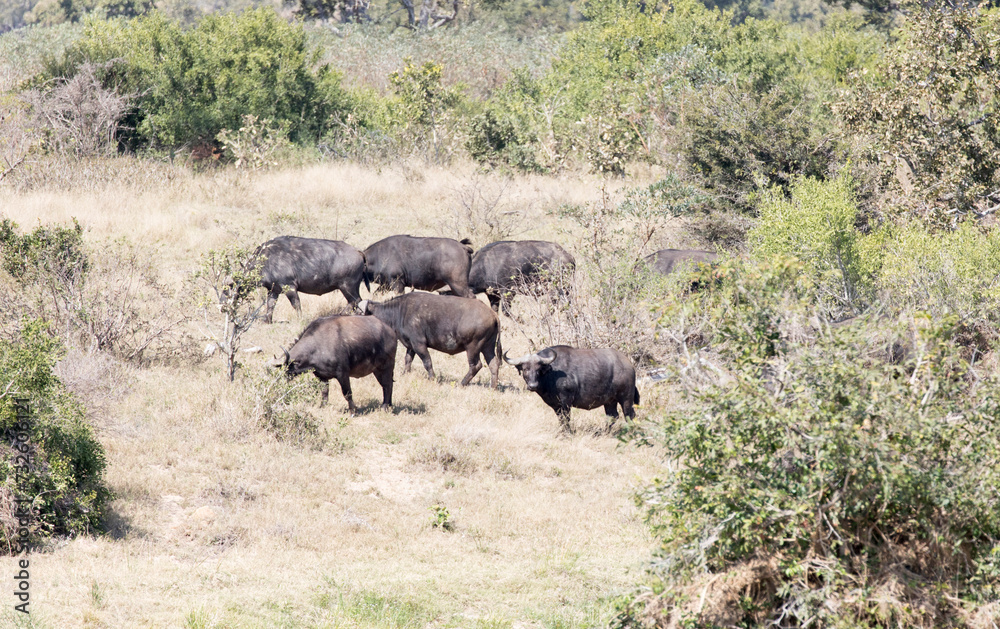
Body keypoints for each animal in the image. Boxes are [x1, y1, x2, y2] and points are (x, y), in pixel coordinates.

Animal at [360, 292, 501, 388]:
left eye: (357, 310)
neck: (399, 312)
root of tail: (493, 314)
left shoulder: (419, 344)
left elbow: (427, 362)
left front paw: (432, 379)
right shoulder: (411, 345)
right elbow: (408, 360)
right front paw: (405, 374)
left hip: (472, 347)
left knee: (475, 365)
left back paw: (461, 383)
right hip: (487, 346)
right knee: (493, 364)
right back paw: (493, 387)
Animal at [504, 345, 639, 432]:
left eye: (538, 369)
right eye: (525, 369)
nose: (533, 386)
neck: (551, 374)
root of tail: (629, 364)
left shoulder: (565, 402)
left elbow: (566, 419)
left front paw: (567, 433)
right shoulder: (556, 405)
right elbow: (561, 419)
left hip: (626, 398)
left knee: (629, 415)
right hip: (609, 401)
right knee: (612, 416)